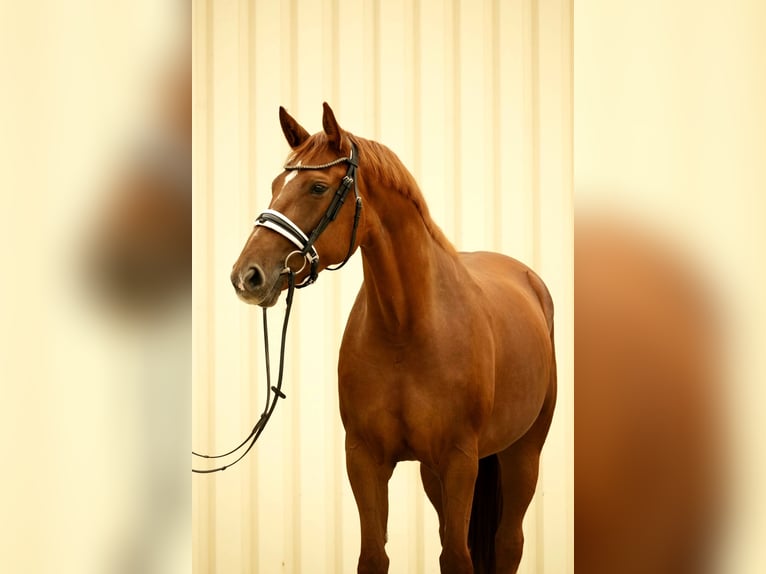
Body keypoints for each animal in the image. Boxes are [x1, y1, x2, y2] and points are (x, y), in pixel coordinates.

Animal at [231, 103, 557, 574]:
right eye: (276, 185)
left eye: (317, 187)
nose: (247, 276)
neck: (407, 332)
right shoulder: (365, 458)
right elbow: (374, 555)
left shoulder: (459, 460)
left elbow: (457, 558)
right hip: (433, 472)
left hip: (523, 452)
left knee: (509, 542)